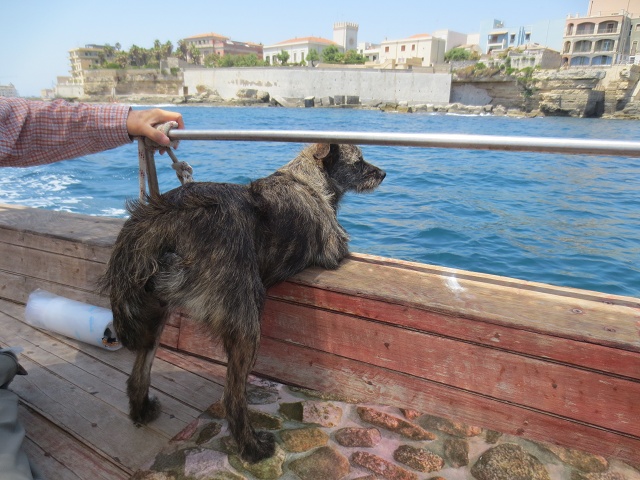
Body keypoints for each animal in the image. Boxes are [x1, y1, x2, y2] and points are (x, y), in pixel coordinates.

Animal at [100, 143, 384, 462]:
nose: (383, 173)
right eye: (359, 162)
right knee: (232, 397)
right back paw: (253, 448)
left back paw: (142, 410)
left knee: (139, 373)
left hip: (155, 311)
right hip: (244, 318)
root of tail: (163, 219)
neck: (305, 178)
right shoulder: (335, 249)